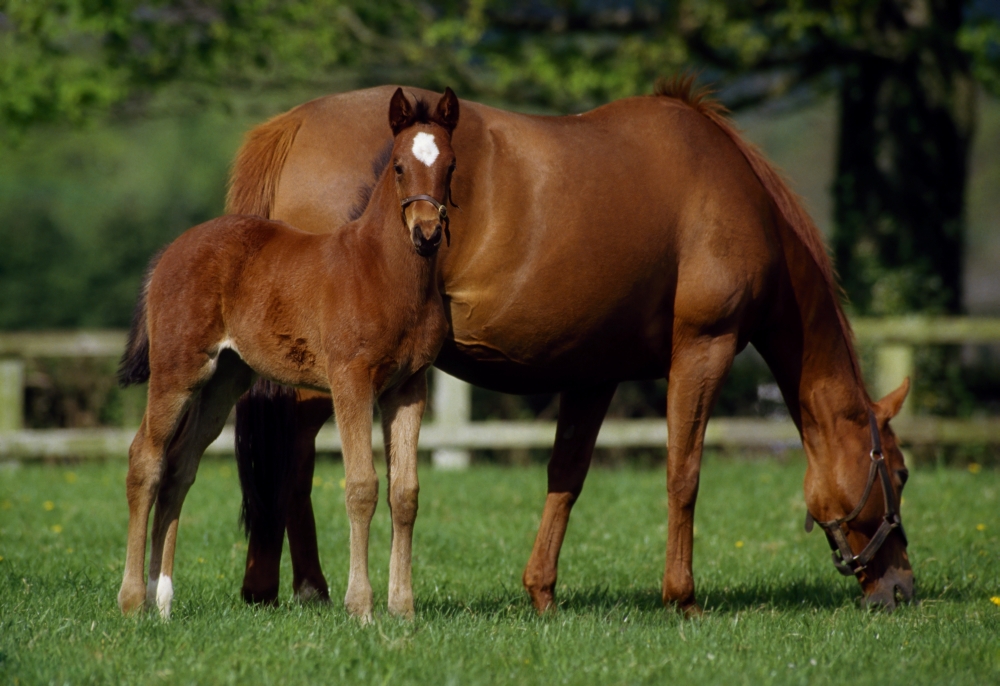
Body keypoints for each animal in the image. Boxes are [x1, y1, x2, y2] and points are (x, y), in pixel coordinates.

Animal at [116, 88, 460, 621]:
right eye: (400, 166)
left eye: (450, 165)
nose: (426, 233)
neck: (381, 270)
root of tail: (170, 252)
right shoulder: (350, 380)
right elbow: (361, 487)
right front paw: (360, 608)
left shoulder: (408, 387)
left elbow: (405, 492)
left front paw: (403, 608)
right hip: (178, 371)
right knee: (145, 460)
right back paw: (133, 600)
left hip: (225, 379)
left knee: (179, 468)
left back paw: (164, 599)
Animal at [228, 76, 914, 614]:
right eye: (900, 473)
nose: (902, 589)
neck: (730, 189)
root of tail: (294, 124)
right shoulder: (704, 348)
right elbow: (683, 473)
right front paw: (683, 597)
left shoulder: (593, 373)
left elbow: (567, 474)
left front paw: (542, 592)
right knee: (293, 456)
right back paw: (301, 586)